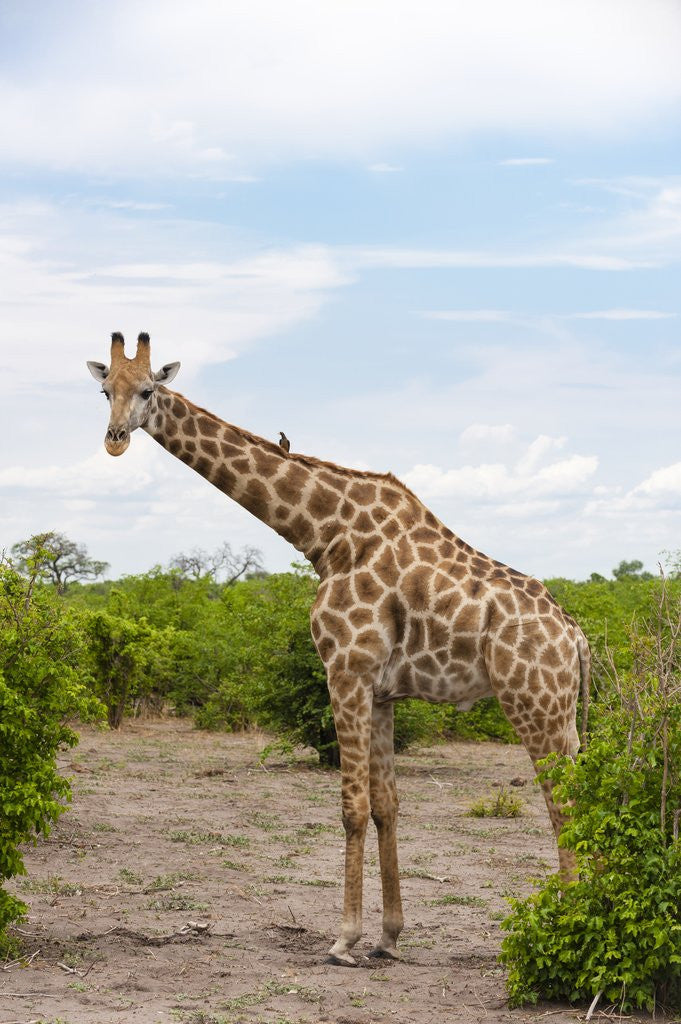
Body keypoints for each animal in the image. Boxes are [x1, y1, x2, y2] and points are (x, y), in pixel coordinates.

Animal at [88, 332, 591, 966]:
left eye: (148, 390)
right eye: (105, 389)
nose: (114, 439)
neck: (325, 535)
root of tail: (576, 637)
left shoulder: (344, 670)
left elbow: (350, 808)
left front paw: (344, 940)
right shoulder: (381, 692)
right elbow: (385, 805)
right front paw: (389, 937)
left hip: (533, 706)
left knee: (563, 805)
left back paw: (570, 931)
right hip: (564, 714)